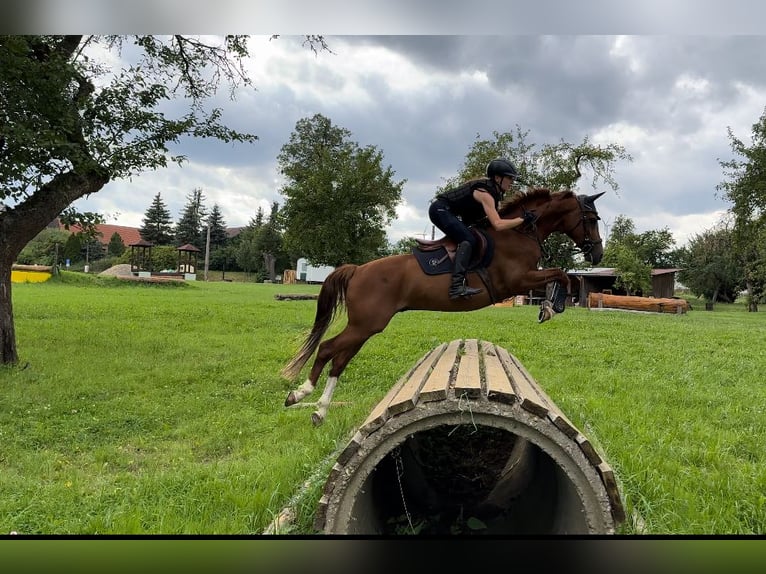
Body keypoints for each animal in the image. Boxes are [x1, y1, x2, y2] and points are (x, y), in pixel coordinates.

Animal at [281, 188, 605, 425]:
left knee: (340, 360)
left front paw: (549, 307)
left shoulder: (524, 278)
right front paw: (551, 307)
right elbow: (562, 275)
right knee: (327, 349)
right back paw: (299, 394)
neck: (519, 233)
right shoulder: (517, 280)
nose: (598, 254)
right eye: (591, 219)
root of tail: (357, 270)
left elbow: (562, 276)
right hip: (365, 325)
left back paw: (320, 410)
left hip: (365, 327)